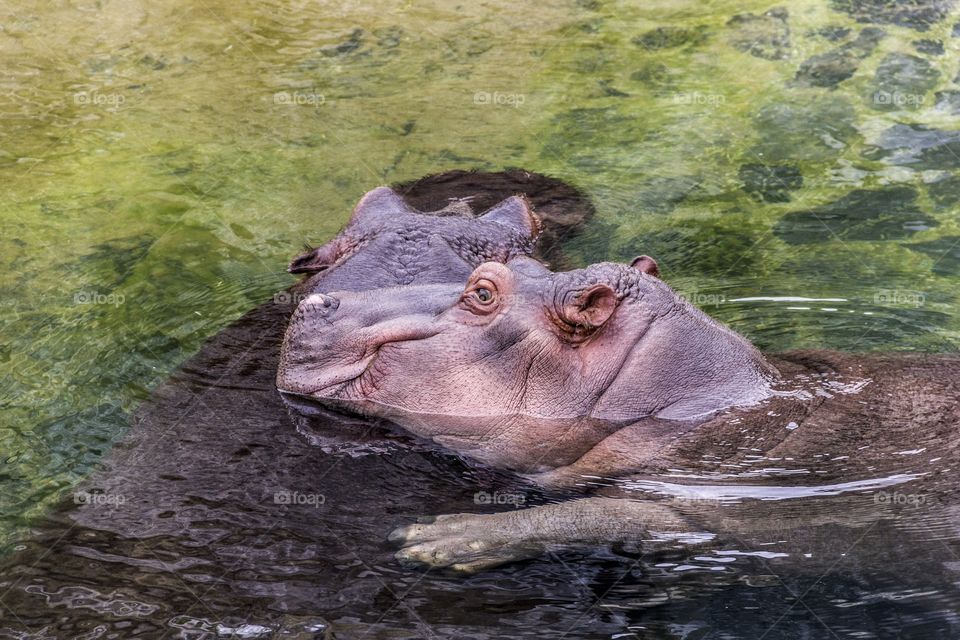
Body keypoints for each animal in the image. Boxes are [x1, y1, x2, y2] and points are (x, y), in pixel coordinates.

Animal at [277, 257, 960, 572]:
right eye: (526, 263)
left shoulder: (713, 509)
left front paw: (436, 539)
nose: (318, 298)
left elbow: (594, 512)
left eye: (483, 292)